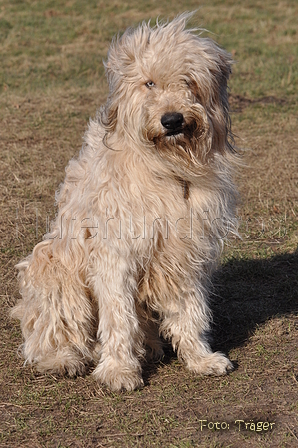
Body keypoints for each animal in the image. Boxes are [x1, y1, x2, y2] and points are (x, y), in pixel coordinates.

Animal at [12, 13, 237, 392]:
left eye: (188, 81)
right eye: (149, 83)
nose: (172, 120)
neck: (164, 165)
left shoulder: (185, 249)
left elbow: (189, 309)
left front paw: (199, 358)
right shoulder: (115, 253)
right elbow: (118, 315)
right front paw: (119, 369)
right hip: (53, 268)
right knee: (51, 331)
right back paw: (64, 358)